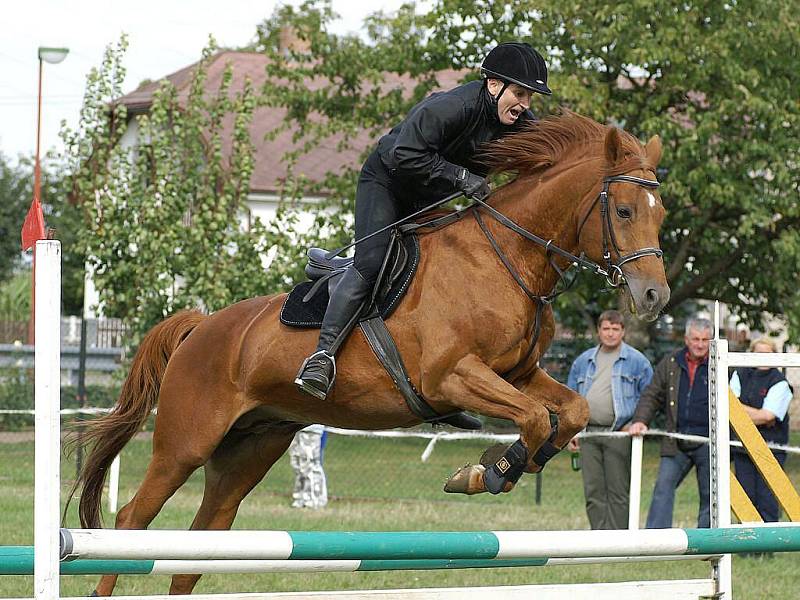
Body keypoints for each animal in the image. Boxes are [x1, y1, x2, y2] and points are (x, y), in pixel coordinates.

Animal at [70, 112, 668, 596]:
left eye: (661, 214)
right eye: (623, 209)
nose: (653, 297)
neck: (505, 258)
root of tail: (200, 328)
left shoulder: (518, 373)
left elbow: (569, 412)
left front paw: (503, 466)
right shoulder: (453, 377)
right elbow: (536, 419)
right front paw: (488, 472)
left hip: (249, 450)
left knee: (201, 542)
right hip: (185, 444)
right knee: (132, 520)